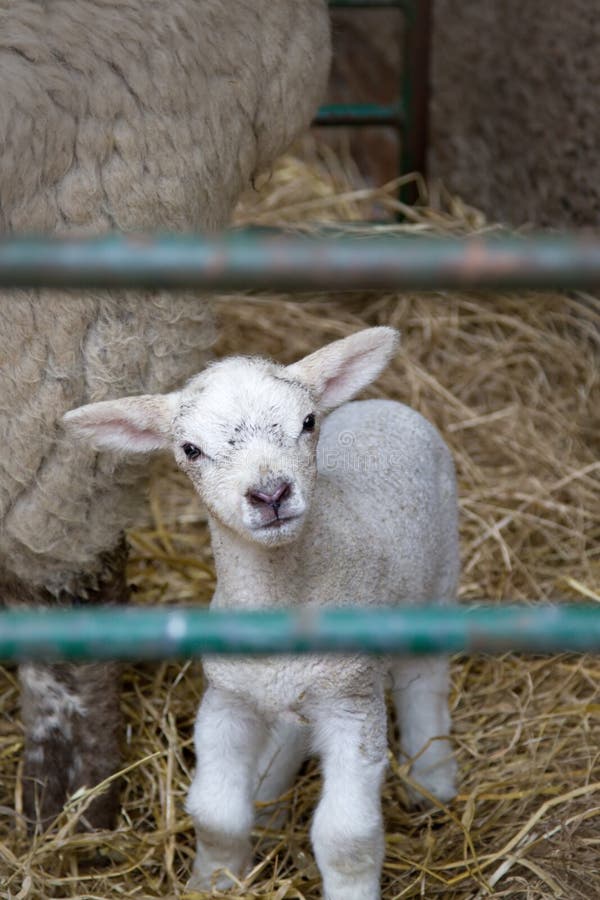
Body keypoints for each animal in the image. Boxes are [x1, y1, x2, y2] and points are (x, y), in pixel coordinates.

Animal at [64, 328, 460, 900]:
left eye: (308, 421)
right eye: (190, 449)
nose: (270, 493)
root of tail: (387, 404)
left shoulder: (352, 704)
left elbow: (346, 837)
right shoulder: (226, 701)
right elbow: (215, 814)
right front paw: (212, 881)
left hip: (440, 578)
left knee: (424, 679)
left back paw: (432, 779)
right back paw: (269, 796)